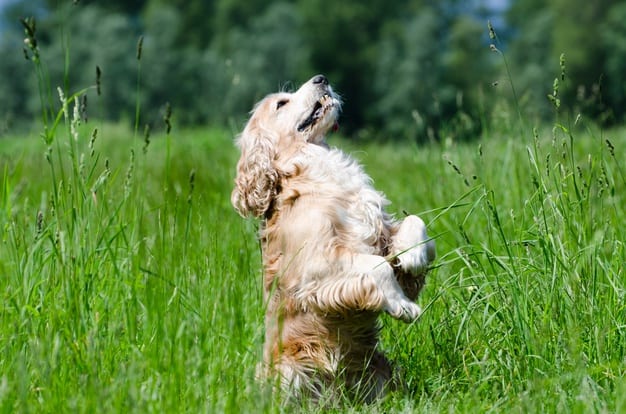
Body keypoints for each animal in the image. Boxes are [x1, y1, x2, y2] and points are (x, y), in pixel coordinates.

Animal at [230, 75, 434, 402]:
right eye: (281, 103)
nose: (321, 78)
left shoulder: (380, 231)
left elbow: (415, 223)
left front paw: (413, 256)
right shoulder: (317, 264)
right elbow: (377, 266)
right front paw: (403, 306)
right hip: (288, 373)